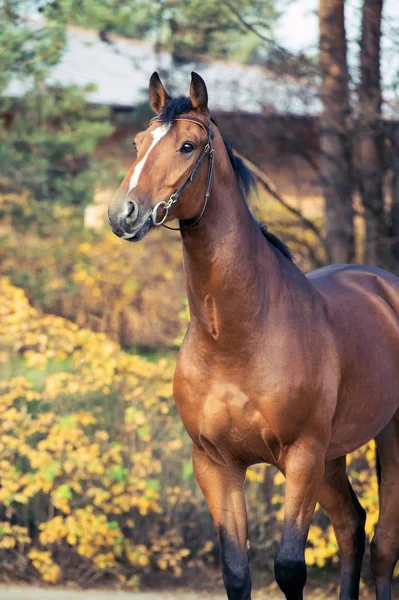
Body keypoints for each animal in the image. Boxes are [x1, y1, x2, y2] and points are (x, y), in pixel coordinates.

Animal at [108, 72, 399, 596]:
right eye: (139, 142)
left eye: (187, 145)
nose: (124, 213)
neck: (237, 337)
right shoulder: (215, 464)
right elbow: (237, 571)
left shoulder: (301, 457)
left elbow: (289, 568)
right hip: (332, 459)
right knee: (351, 525)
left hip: (380, 441)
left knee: (384, 546)